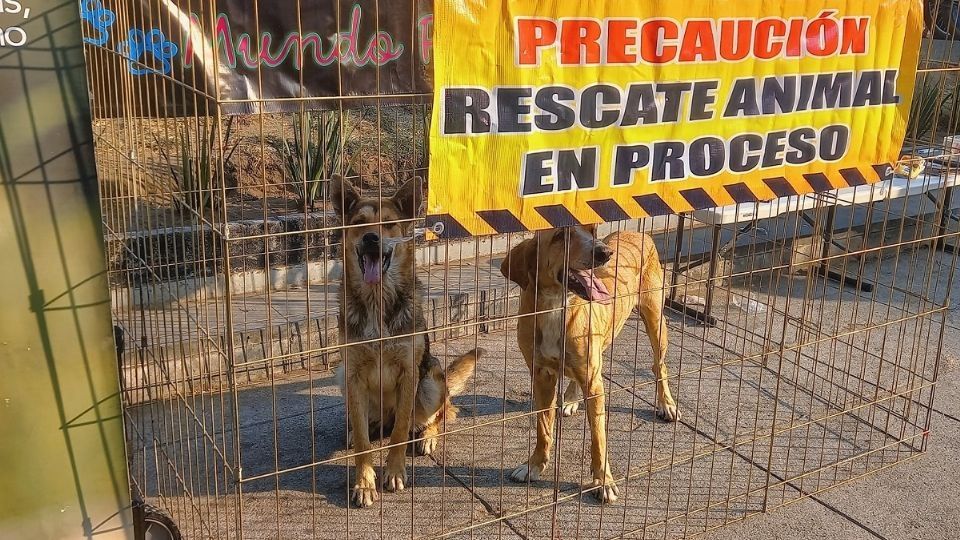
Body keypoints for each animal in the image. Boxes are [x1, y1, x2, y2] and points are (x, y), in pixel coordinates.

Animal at [332, 175, 480, 508]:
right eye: (359, 223)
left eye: (388, 224)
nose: (371, 239)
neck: (377, 301)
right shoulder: (353, 375)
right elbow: (363, 443)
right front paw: (364, 483)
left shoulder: (409, 374)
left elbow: (399, 432)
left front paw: (394, 472)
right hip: (343, 378)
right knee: (367, 424)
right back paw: (358, 429)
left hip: (431, 380)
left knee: (440, 414)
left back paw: (427, 436)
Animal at [498, 224, 680, 502]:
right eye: (560, 235)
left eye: (590, 231)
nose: (604, 252)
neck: (556, 305)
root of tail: (639, 234)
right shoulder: (541, 376)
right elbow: (543, 428)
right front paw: (534, 465)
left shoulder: (595, 386)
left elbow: (598, 438)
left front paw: (603, 481)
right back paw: (571, 399)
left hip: (655, 322)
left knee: (659, 366)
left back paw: (666, 404)